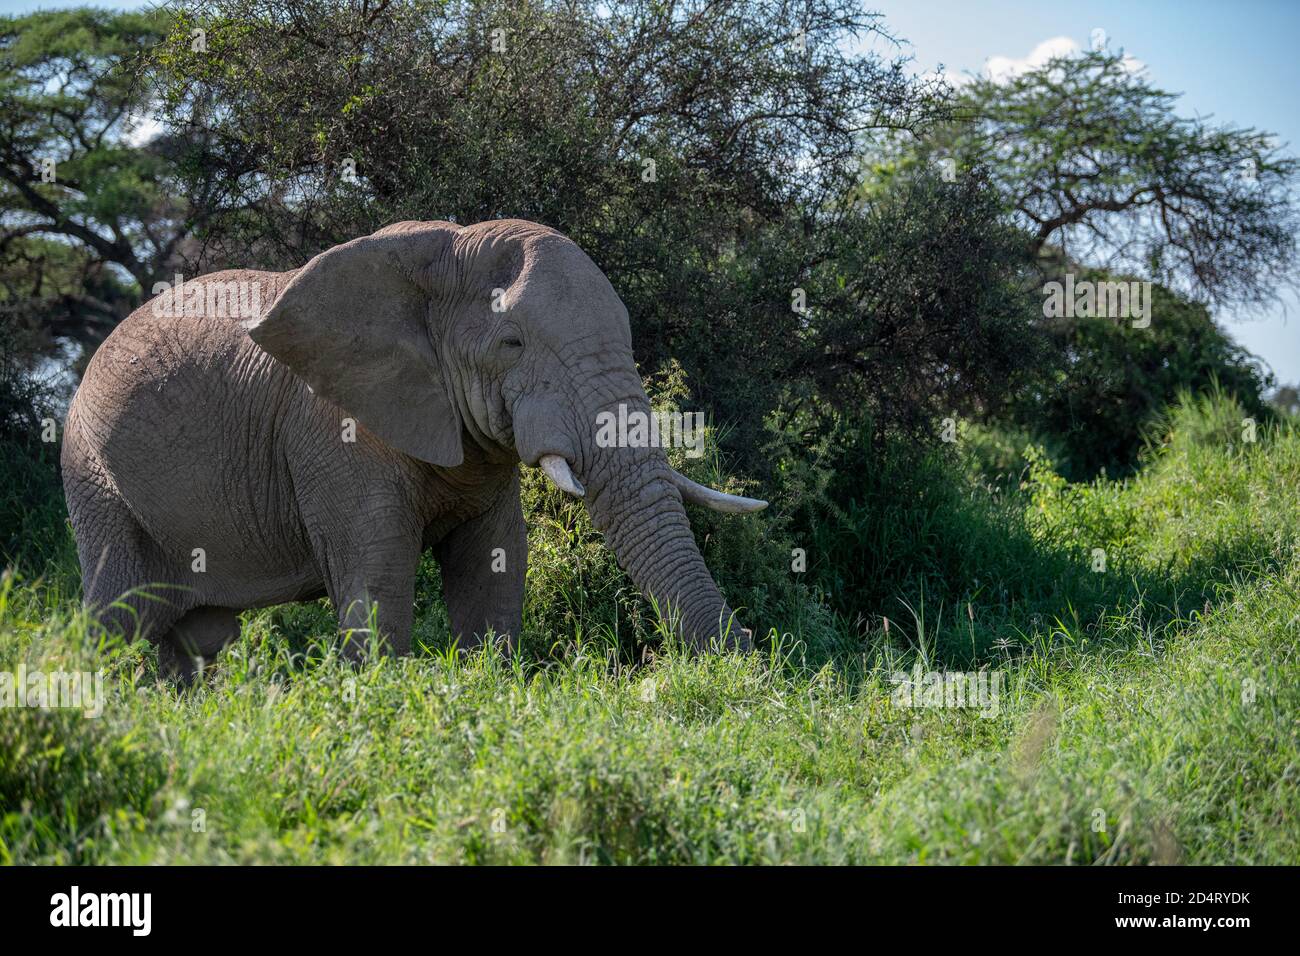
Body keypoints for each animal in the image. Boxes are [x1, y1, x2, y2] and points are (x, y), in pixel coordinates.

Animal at [61, 219, 764, 676]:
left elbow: (494, 562)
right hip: (94, 477)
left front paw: (489, 685)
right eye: (511, 344)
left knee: (187, 640)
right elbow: (378, 570)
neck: (446, 251)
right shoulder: (332, 429)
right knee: (116, 620)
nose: (755, 662)